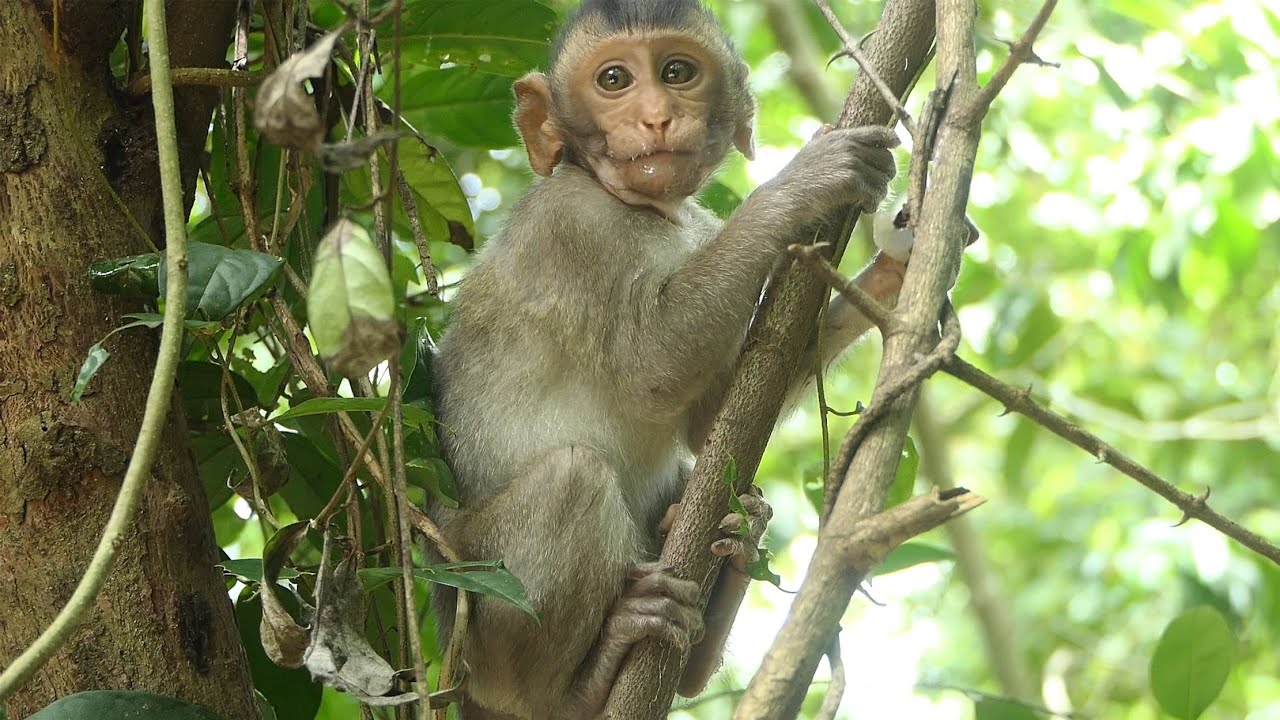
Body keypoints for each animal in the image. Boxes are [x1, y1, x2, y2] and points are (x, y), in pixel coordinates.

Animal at [430, 1, 911, 718]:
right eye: (614, 80)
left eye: (678, 72)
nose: (656, 117)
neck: (644, 211)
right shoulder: (570, 227)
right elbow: (650, 368)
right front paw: (800, 184)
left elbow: (713, 418)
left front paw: (898, 264)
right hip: (480, 599)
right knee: (572, 477)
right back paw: (578, 684)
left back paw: (729, 548)